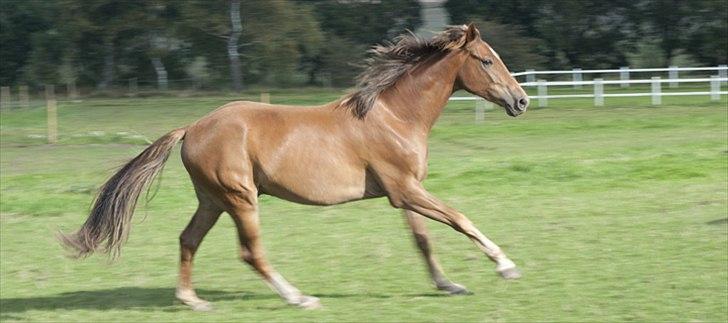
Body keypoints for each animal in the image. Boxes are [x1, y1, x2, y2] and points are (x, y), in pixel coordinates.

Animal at [61, 24, 528, 310]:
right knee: (251, 252)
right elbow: (460, 219)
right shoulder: (405, 189)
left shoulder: (404, 192)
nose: (521, 100)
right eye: (486, 60)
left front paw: (449, 285)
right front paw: (506, 266)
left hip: (212, 200)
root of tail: (192, 127)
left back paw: (192, 300)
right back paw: (298, 298)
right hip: (241, 198)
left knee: (188, 239)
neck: (394, 116)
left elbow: (424, 240)